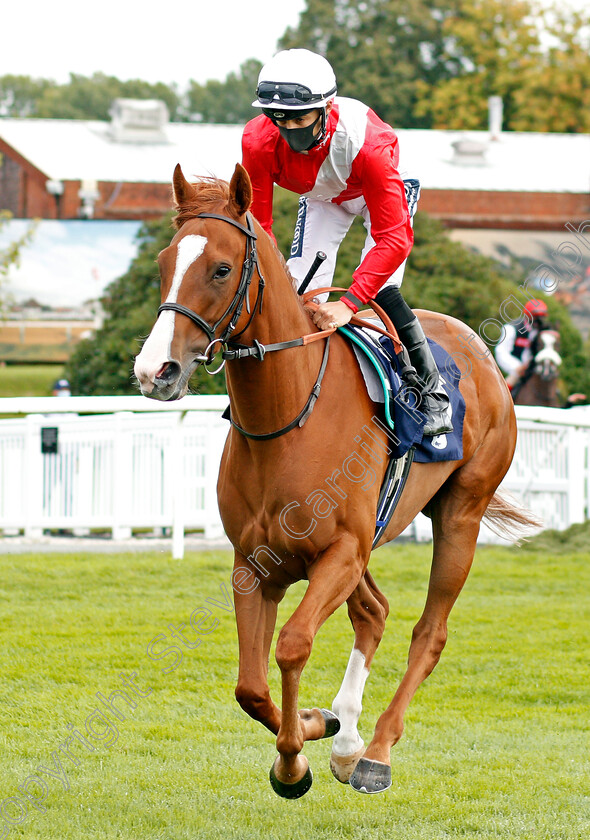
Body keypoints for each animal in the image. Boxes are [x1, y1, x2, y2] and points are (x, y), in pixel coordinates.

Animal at [135, 166, 536, 800]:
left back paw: (374, 754)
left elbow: (293, 644)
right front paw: (316, 725)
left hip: (460, 513)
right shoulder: (256, 563)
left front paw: (292, 763)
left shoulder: (340, 552)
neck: (287, 419)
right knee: (373, 612)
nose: (157, 371)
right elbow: (249, 686)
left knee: (430, 632)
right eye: (163, 262)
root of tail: (480, 350)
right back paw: (346, 740)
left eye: (221, 269)